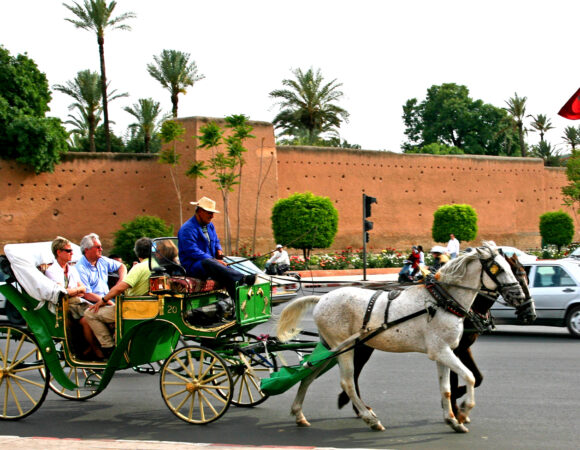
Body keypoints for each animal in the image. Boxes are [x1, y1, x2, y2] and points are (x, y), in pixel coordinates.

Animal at [276, 243, 524, 432]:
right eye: (499, 269)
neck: (443, 301)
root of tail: (322, 299)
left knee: (308, 375)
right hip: (344, 347)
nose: (519, 295)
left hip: (332, 346)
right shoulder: (442, 351)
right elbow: (471, 378)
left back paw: (299, 413)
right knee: (347, 382)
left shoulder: (444, 352)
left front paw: (452, 419)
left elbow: (446, 388)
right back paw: (369, 418)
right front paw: (463, 411)